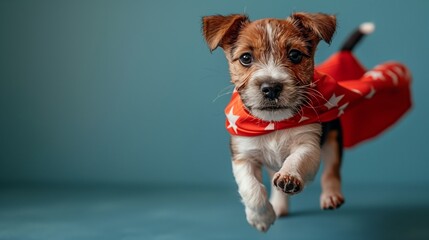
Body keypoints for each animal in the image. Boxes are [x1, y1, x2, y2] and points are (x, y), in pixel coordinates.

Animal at [201, 12, 372, 232]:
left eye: (295, 55)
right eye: (246, 58)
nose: (271, 88)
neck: (275, 123)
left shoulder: (309, 144)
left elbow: (296, 159)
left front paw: (289, 177)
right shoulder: (242, 155)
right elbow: (251, 188)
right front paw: (262, 217)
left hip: (334, 137)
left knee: (331, 171)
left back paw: (331, 196)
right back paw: (279, 206)